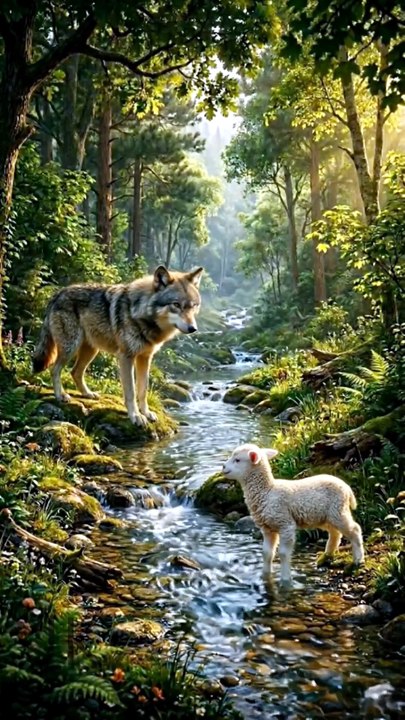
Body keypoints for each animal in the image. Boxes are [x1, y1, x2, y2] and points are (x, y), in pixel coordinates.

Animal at [32, 265, 203, 425]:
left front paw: (146, 413)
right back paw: (61, 395)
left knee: (75, 372)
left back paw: (88, 394)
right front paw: (135, 416)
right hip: (70, 347)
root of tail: (58, 293)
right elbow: (131, 392)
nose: (193, 328)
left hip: (91, 350)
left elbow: (143, 390)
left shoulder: (145, 358)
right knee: (55, 370)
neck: (141, 313)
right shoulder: (126, 357)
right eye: (176, 305)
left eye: (194, 306)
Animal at [222, 443, 364, 584]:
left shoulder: (285, 523)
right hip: (324, 516)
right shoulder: (267, 528)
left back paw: (358, 559)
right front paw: (265, 576)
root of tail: (347, 488)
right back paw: (327, 555)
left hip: (337, 510)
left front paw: (285, 580)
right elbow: (267, 553)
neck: (267, 492)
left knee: (354, 529)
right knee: (335, 532)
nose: (223, 467)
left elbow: (283, 553)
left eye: (237, 460)